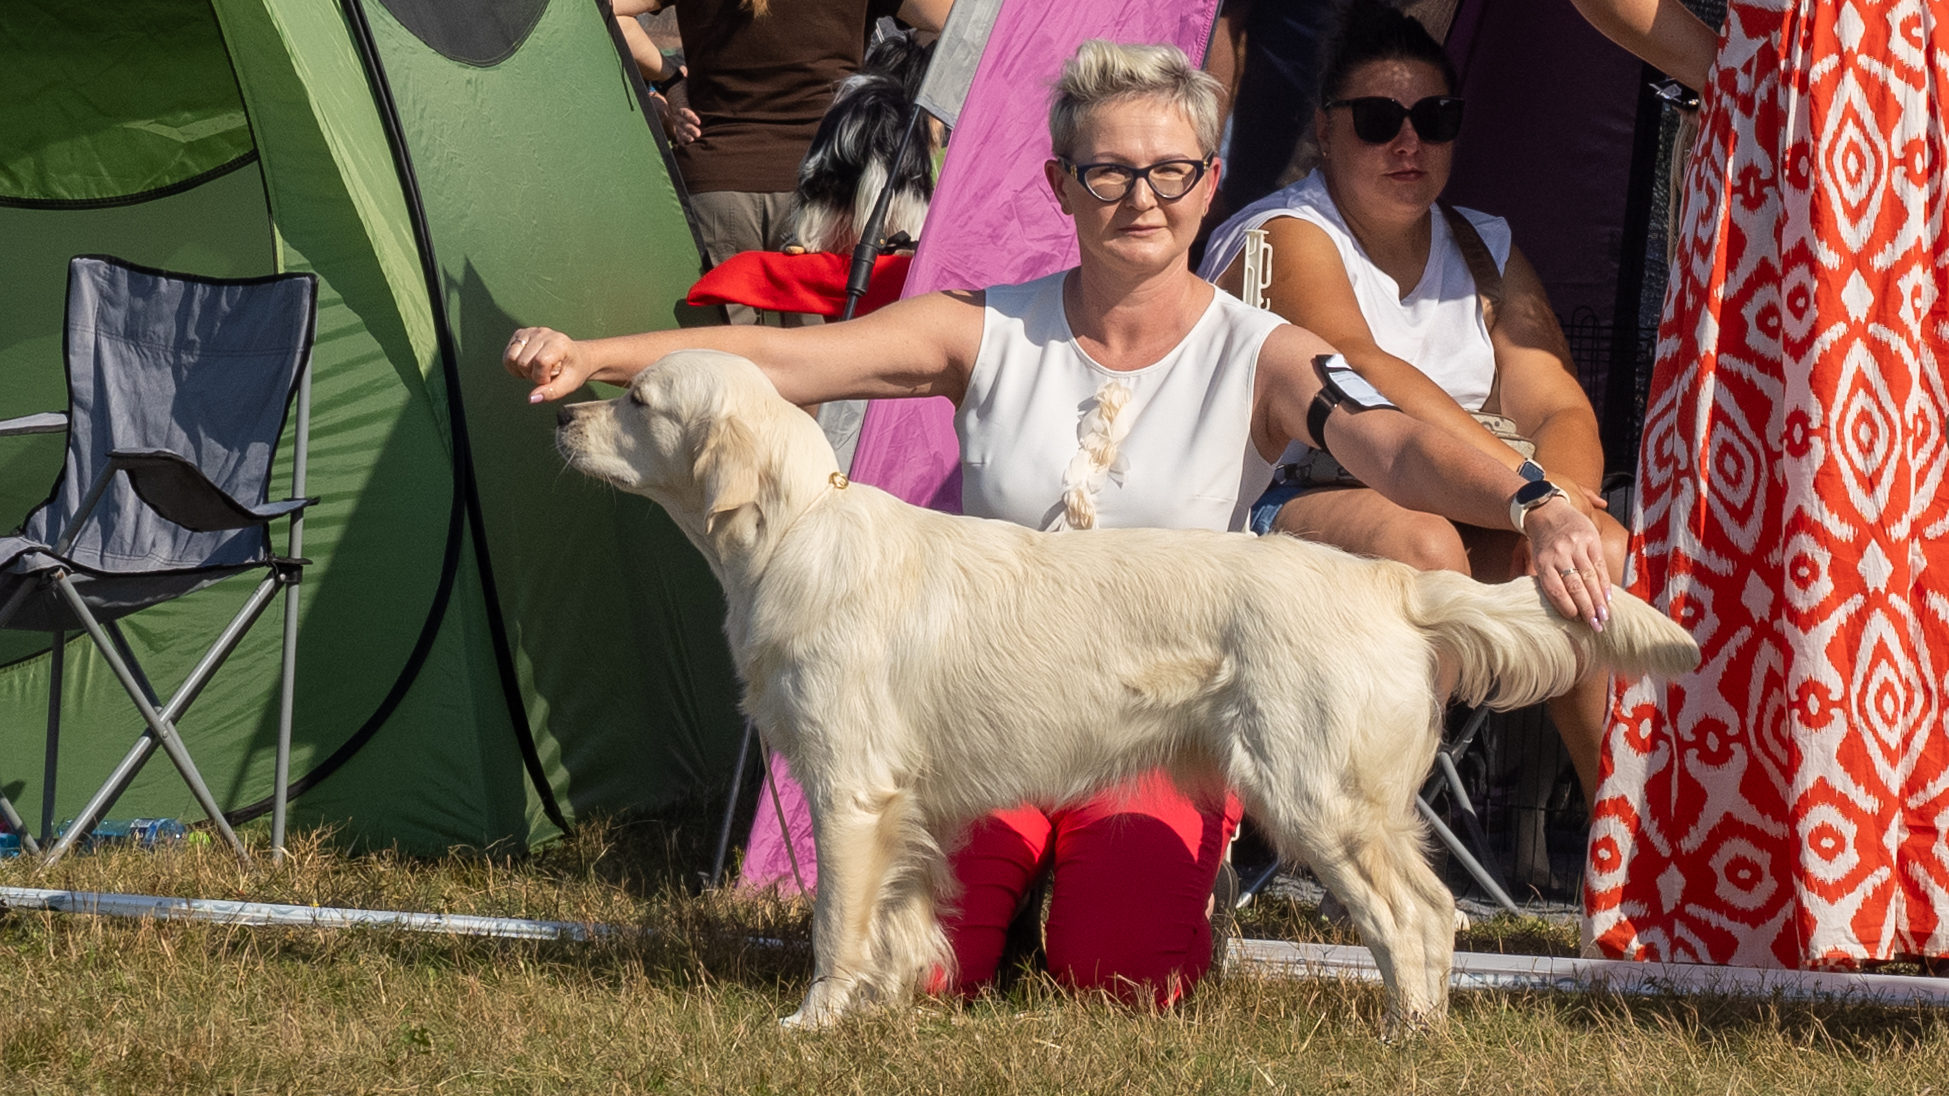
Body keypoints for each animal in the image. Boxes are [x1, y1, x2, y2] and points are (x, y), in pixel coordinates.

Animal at [556, 351, 1699, 1035]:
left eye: (637, 401)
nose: (562, 421)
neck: (792, 534)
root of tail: (1392, 581)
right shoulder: (905, 806)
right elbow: (900, 918)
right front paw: (892, 1004)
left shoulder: (848, 789)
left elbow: (835, 920)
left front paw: (816, 1022)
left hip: (1317, 796)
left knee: (1420, 915)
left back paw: (1402, 1037)